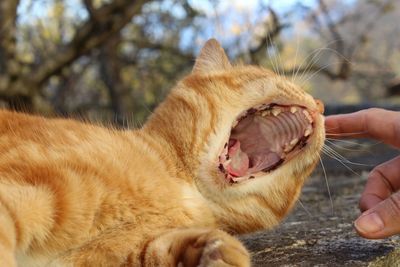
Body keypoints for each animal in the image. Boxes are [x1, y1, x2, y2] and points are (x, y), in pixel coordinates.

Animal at [0, 38, 324, 266]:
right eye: (274, 78)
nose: (320, 105)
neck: (184, 188)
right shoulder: (29, 187)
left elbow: (155, 250)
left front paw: (216, 251)